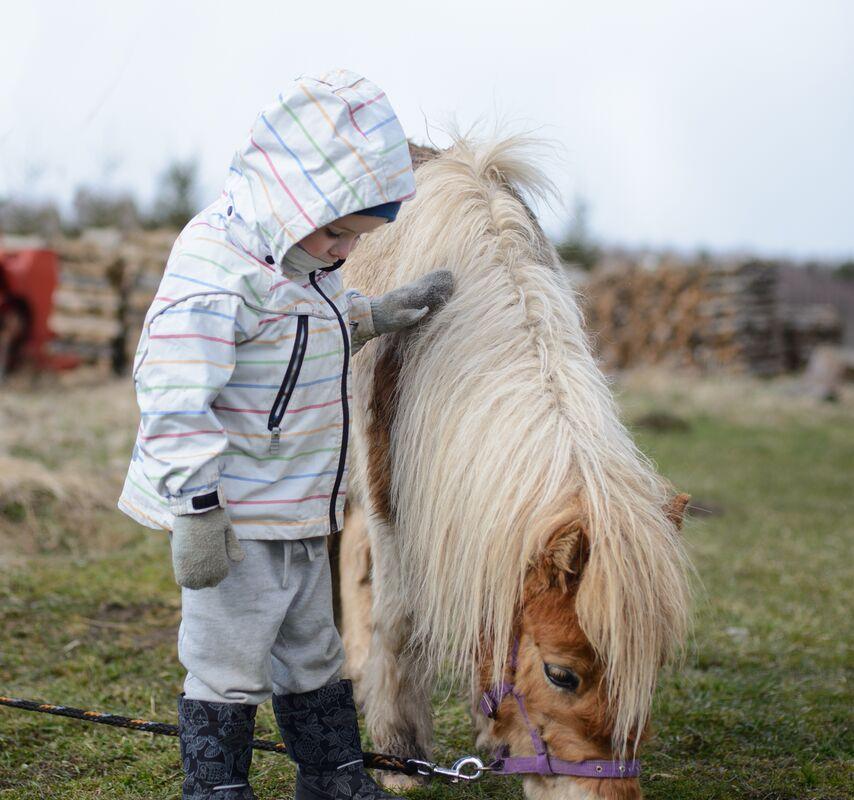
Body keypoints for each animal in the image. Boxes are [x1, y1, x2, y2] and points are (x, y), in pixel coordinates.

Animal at [338, 138, 692, 800]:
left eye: (652, 666)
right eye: (561, 674)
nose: (611, 798)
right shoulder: (386, 497)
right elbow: (399, 617)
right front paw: (398, 754)